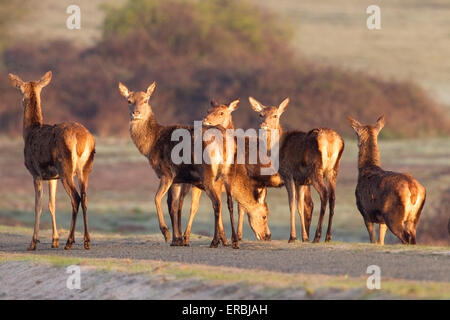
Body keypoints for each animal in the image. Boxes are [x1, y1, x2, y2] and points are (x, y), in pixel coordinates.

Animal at [8, 71, 96, 251]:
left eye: (20, 90)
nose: (21, 102)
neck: (29, 132)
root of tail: (83, 139)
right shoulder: (52, 177)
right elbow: (52, 204)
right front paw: (54, 240)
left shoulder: (36, 173)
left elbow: (38, 206)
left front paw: (33, 242)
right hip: (85, 169)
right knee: (84, 198)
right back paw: (86, 241)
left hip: (65, 168)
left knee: (75, 198)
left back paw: (69, 241)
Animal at [118, 82, 268, 248]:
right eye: (129, 100)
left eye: (145, 100)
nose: (135, 113)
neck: (152, 145)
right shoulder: (178, 180)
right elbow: (174, 205)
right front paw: (177, 239)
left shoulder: (167, 173)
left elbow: (158, 199)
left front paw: (167, 233)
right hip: (226, 173)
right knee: (228, 202)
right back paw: (233, 241)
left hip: (208, 174)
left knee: (216, 203)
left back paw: (214, 241)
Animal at [248, 97, 342, 242]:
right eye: (260, 114)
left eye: (275, 115)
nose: (263, 125)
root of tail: (332, 141)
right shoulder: (301, 181)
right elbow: (300, 206)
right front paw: (304, 237)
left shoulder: (288, 175)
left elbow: (291, 204)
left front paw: (292, 237)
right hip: (333, 170)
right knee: (333, 197)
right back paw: (328, 236)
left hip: (315, 170)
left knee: (324, 194)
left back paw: (317, 236)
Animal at [346, 116, 428, 244]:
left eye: (356, 133)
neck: (365, 170)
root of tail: (413, 188)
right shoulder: (382, 221)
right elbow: (381, 241)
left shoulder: (365, 212)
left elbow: (373, 240)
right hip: (413, 217)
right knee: (413, 238)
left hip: (392, 214)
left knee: (405, 237)